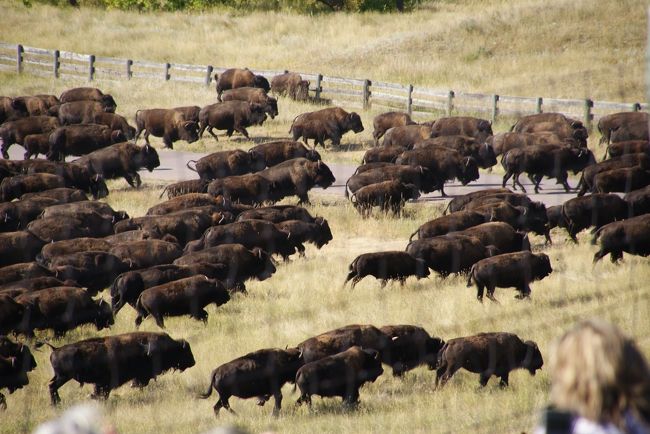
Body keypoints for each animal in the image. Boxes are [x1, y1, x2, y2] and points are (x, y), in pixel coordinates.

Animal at [45, 332, 194, 406]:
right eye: (182, 351)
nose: (193, 361)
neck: (143, 349)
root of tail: (55, 349)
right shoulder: (106, 382)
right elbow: (102, 392)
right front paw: (93, 397)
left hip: (61, 377)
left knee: (51, 386)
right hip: (63, 377)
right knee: (52, 386)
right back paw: (56, 403)